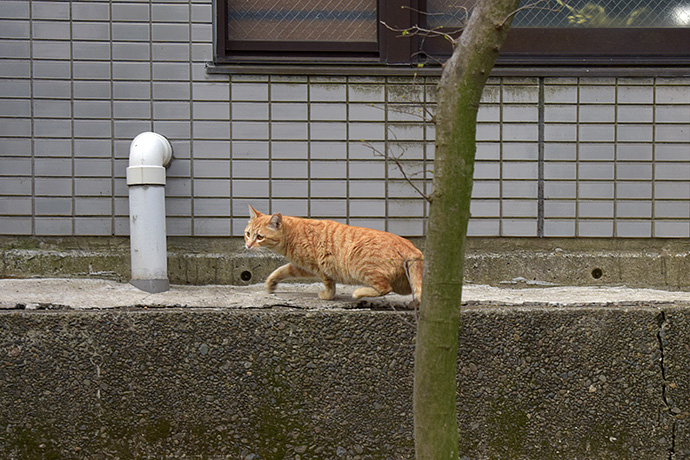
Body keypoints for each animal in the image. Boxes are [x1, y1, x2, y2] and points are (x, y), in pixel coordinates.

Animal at [245, 205, 422, 302]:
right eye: (247, 234)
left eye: (259, 237)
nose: (247, 245)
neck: (292, 234)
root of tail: (412, 247)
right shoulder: (302, 267)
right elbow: (281, 270)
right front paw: (271, 283)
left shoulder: (320, 267)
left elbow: (329, 284)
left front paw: (327, 296)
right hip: (404, 283)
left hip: (361, 267)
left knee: (384, 287)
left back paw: (358, 293)